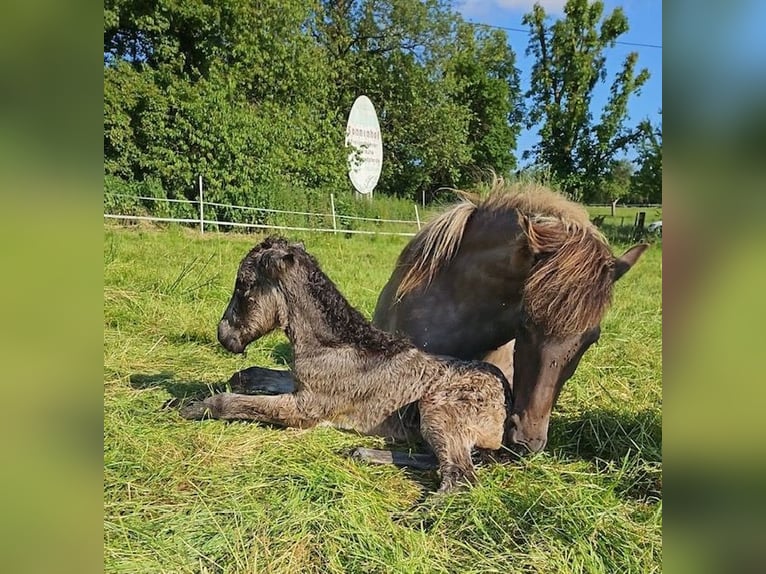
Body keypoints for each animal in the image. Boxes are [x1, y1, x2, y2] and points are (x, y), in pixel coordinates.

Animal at [182, 238, 512, 496]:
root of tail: (506, 400)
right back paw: (363, 453)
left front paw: (192, 407)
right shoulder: (301, 385)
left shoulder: (303, 410)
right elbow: (250, 375)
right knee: (439, 460)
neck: (336, 345)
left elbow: (232, 403)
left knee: (459, 476)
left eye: (243, 285)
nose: (224, 337)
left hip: (436, 410)